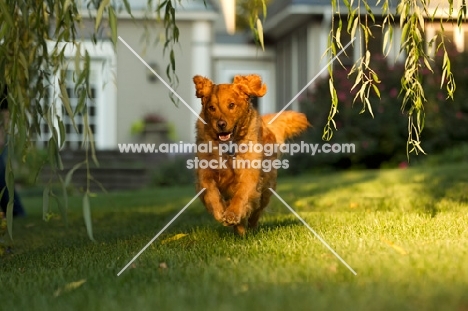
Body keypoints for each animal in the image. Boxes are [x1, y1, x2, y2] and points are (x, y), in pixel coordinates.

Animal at [192, 75, 308, 236]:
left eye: (231, 105)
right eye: (212, 108)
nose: (221, 124)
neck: (228, 146)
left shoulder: (249, 173)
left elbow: (241, 195)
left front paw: (232, 214)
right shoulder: (205, 173)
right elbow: (211, 193)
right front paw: (220, 212)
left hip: (266, 188)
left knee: (256, 210)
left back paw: (250, 229)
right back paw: (240, 232)